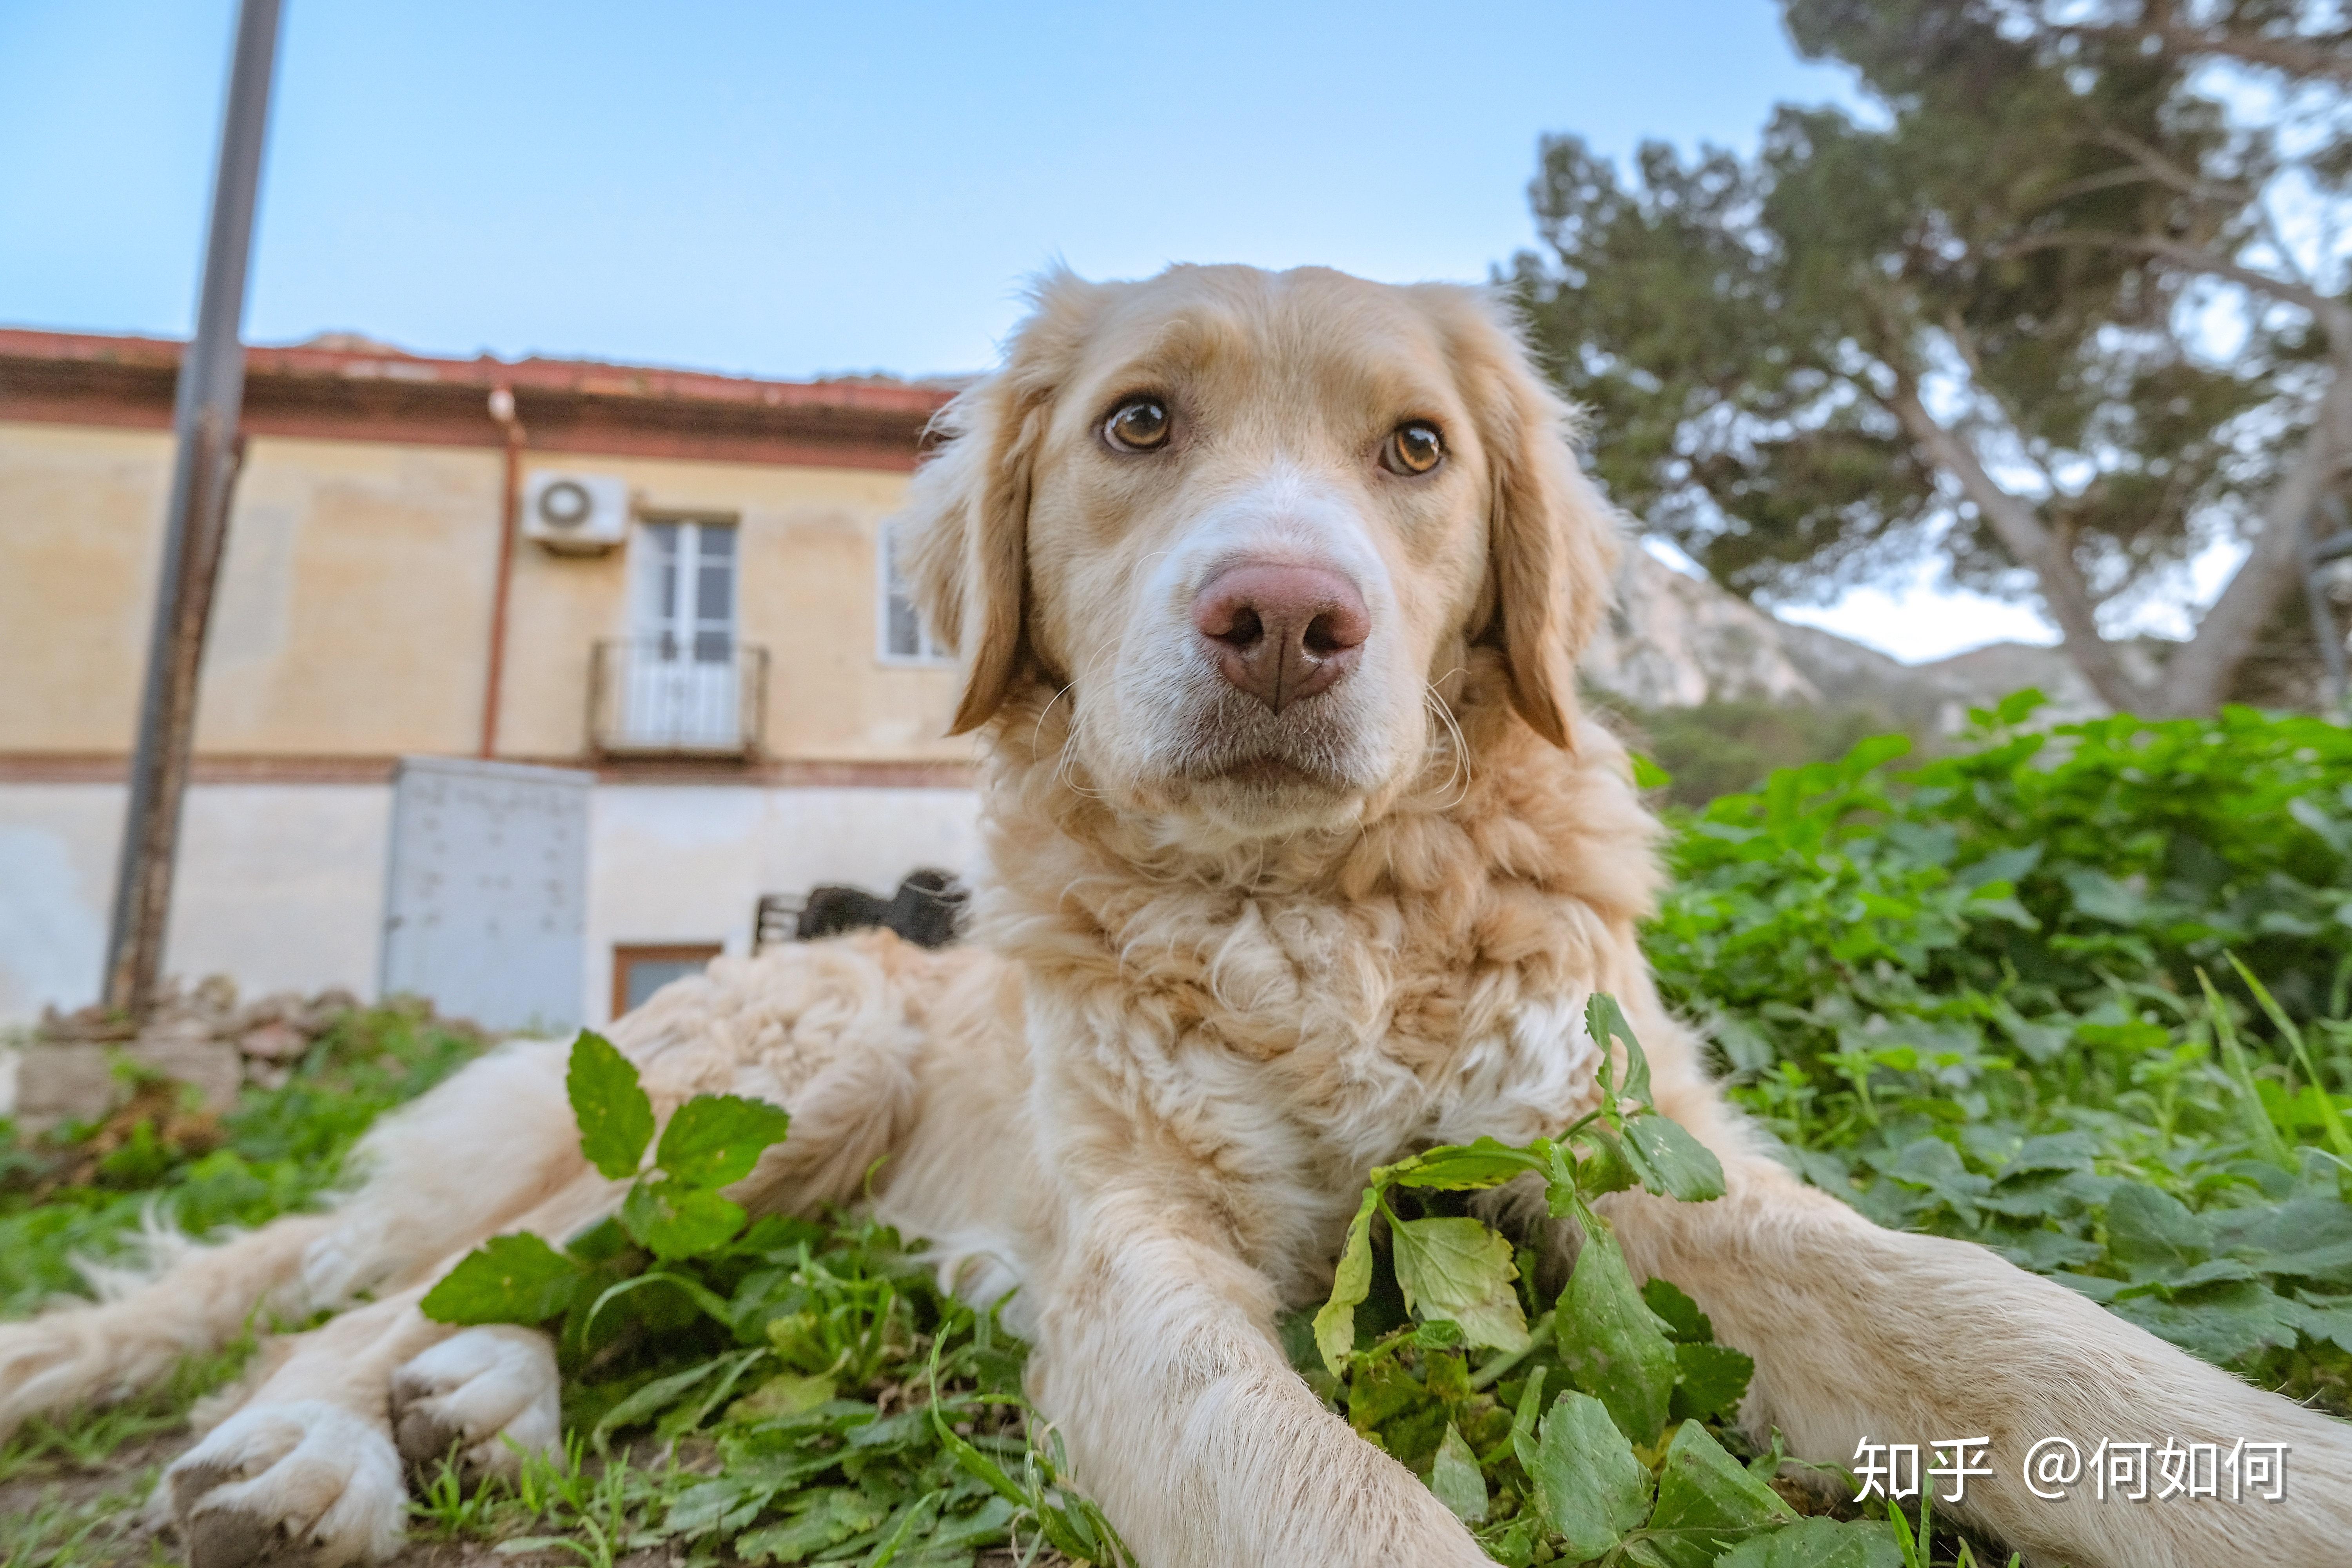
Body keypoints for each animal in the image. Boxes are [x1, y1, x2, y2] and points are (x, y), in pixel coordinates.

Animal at [4, 270, 2352, 1568]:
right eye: (1139, 422)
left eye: (1415, 448)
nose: (1285, 619)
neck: (1316, 918)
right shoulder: (1142, 1285)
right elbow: (1348, 1513)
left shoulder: (1660, 1177)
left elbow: (2050, 1348)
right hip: (779, 1087)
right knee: (387, 1290)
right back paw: (324, 1443)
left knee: (570, 1289)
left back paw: (469, 1403)